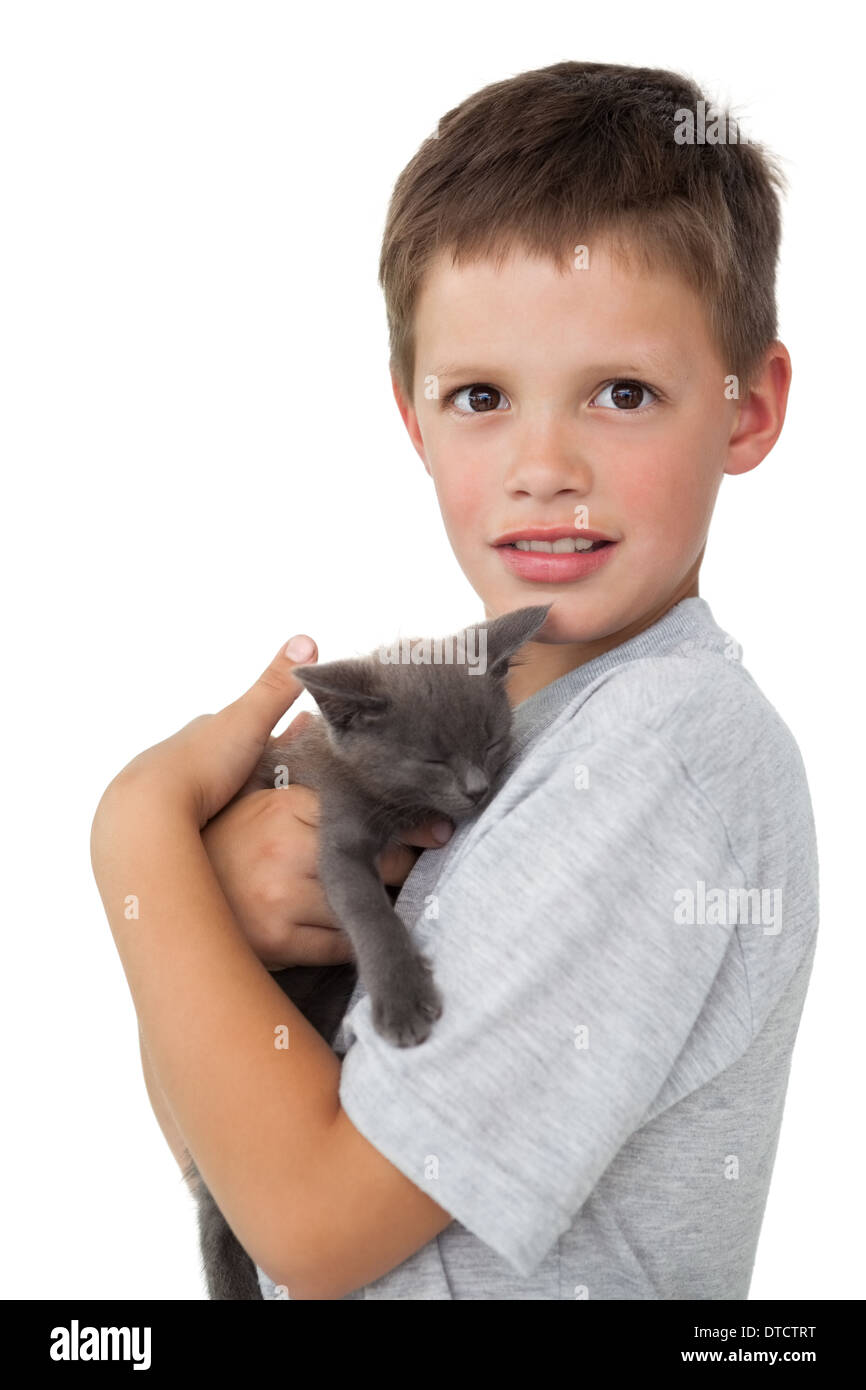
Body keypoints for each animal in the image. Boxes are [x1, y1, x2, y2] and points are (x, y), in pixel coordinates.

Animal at [182, 603, 547, 1295]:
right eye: (432, 759)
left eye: (490, 740)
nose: (477, 788)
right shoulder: (335, 829)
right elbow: (365, 907)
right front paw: (401, 999)